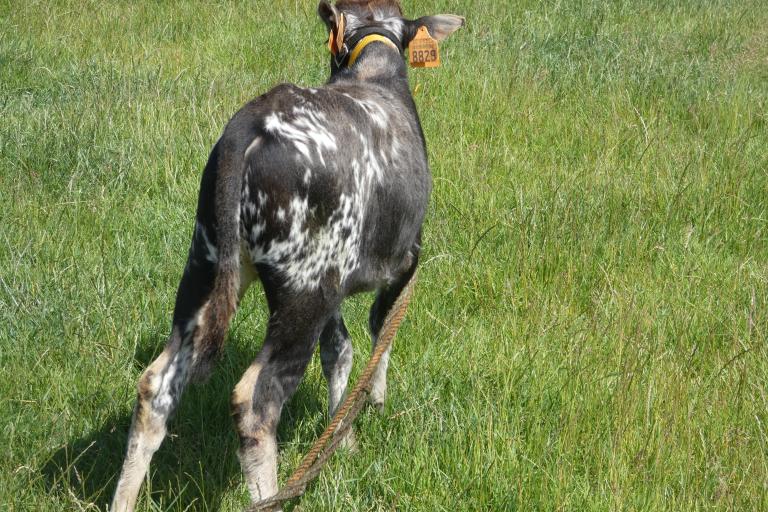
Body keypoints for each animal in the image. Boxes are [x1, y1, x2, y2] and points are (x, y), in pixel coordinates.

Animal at [111, 2, 464, 510]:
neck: (374, 66)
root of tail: (249, 127)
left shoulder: (337, 281)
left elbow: (340, 351)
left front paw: (342, 438)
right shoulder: (404, 261)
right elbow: (381, 334)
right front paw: (372, 404)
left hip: (208, 266)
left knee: (155, 386)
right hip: (303, 294)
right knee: (256, 402)